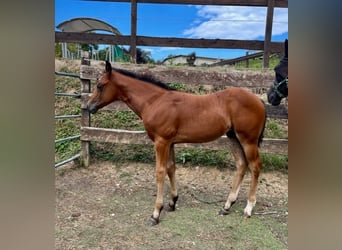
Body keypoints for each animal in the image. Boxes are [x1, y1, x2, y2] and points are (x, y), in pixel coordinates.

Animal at [86, 61, 268, 227]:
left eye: (100, 85)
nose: (88, 107)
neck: (154, 101)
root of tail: (259, 101)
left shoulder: (161, 142)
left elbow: (160, 172)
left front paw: (155, 213)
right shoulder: (170, 142)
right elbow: (171, 168)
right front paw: (172, 202)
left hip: (248, 140)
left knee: (255, 166)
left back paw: (248, 208)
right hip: (233, 137)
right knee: (242, 164)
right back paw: (227, 206)